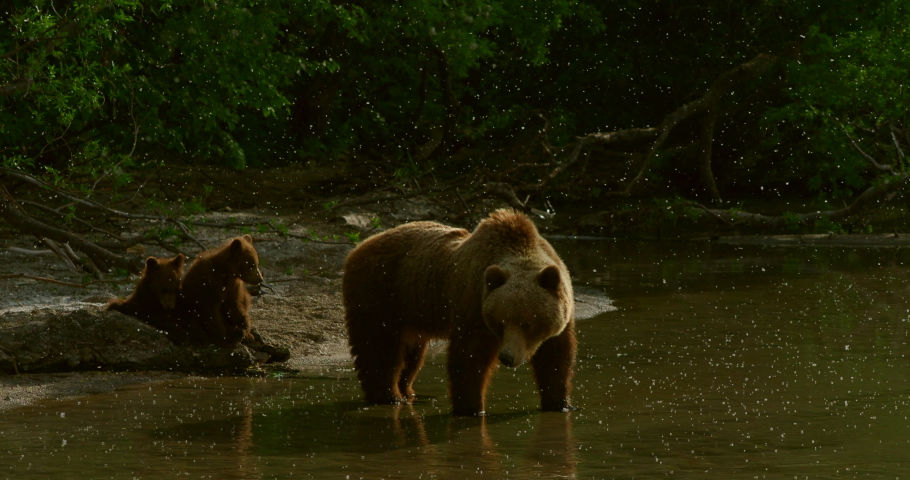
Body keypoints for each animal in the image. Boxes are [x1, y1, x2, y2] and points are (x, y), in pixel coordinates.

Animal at [343, 209, 576, 416]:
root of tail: (359, 246)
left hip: (412, 309)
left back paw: (407, 391)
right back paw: (390, 396)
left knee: (411, 354)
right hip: (381, 293)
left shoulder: (559, 320)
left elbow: (556, 358)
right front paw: (471, 408)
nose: (507, 357)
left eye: (527, 323)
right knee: (379, 347)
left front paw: (560, 403)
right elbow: (469, 357)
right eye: (501, 322)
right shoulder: (473, 303)